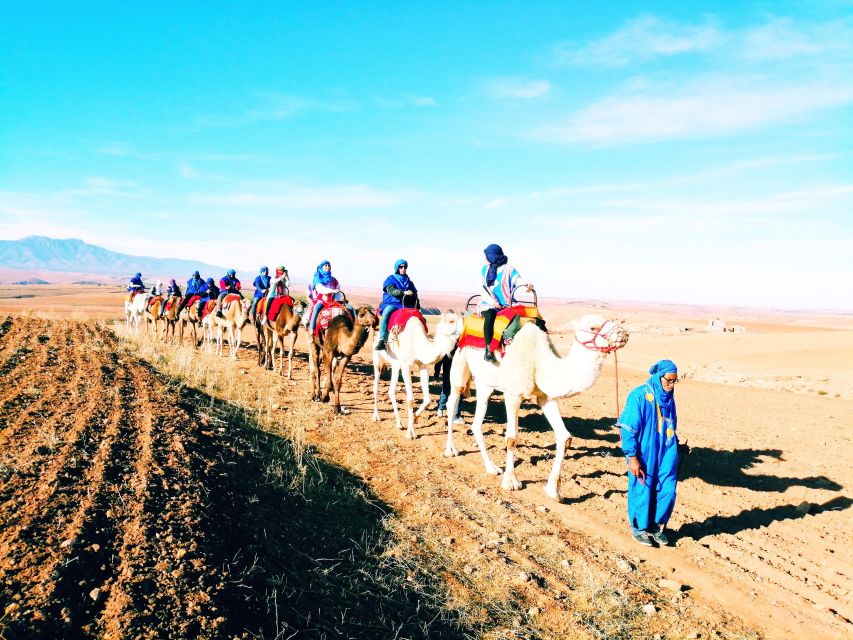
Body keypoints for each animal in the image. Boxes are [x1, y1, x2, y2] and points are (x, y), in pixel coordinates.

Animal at [368, 312, 460, 440]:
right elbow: (410, 400)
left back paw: (399, 423)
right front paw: (410, 433)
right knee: (376, 387)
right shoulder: (406, 365)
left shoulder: (423, 366)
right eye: (451, 321)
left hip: (396, 364)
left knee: (391, 390)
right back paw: (376, 416)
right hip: (378, 359)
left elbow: (427, 400)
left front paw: (415, 420)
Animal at [446, 314, 624, 500]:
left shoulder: (546, 397)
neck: (539, 360)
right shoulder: (513, 394)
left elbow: (564, 437)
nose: (622, 334)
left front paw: (554, 491)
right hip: (460, 364)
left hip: (485, 383)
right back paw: (451, 450)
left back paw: (491, 467)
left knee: (477, 421)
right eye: (593, 328)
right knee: (452, 401)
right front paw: (510, 482)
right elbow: (511, 438)